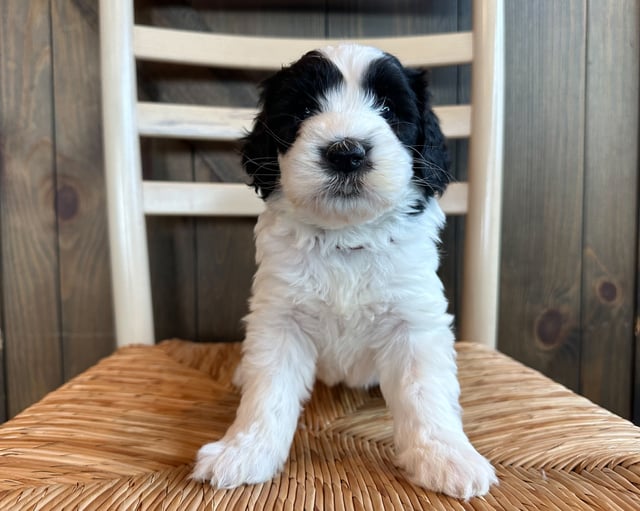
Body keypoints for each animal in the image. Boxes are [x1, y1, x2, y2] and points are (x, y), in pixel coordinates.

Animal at [192, 43, 498, 500]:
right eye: (304, 109)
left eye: (388, 108)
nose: (347, 152)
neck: (344, 238)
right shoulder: (280, 320)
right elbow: (268, 391)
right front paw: (244, 451)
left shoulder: (414, 321)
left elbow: (425, 392)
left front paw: (447, 457)